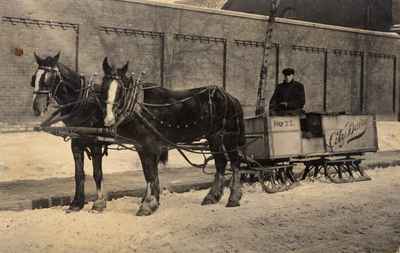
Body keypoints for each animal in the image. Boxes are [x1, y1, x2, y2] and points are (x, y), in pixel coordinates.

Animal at [101, 57, 244, 215]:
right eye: (103, 86)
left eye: (121, 90)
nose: (108, 120)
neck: (138, 105)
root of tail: (230, 97)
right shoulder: (142, 146)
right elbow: (152, 174)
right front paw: (152, 201)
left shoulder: (148, 146)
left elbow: (150, 174)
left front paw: (148, 205)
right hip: (213, 137)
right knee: (221, 163)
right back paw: (212, 197)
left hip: (228, 137)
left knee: (235, 163)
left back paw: (234, 198)